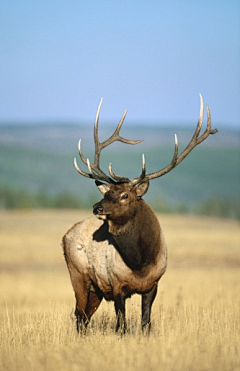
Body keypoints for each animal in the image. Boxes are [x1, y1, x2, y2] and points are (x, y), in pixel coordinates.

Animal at [62, 95, 218, 334]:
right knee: (79, 315)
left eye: (125, 195)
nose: (97, 207)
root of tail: (65, 235)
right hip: (78, 275)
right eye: (107, 192)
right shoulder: (116, 285)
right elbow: (122, 326)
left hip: (96, 289)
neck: (140, 263)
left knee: (84, 316)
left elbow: (146, 324)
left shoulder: (153, 285)